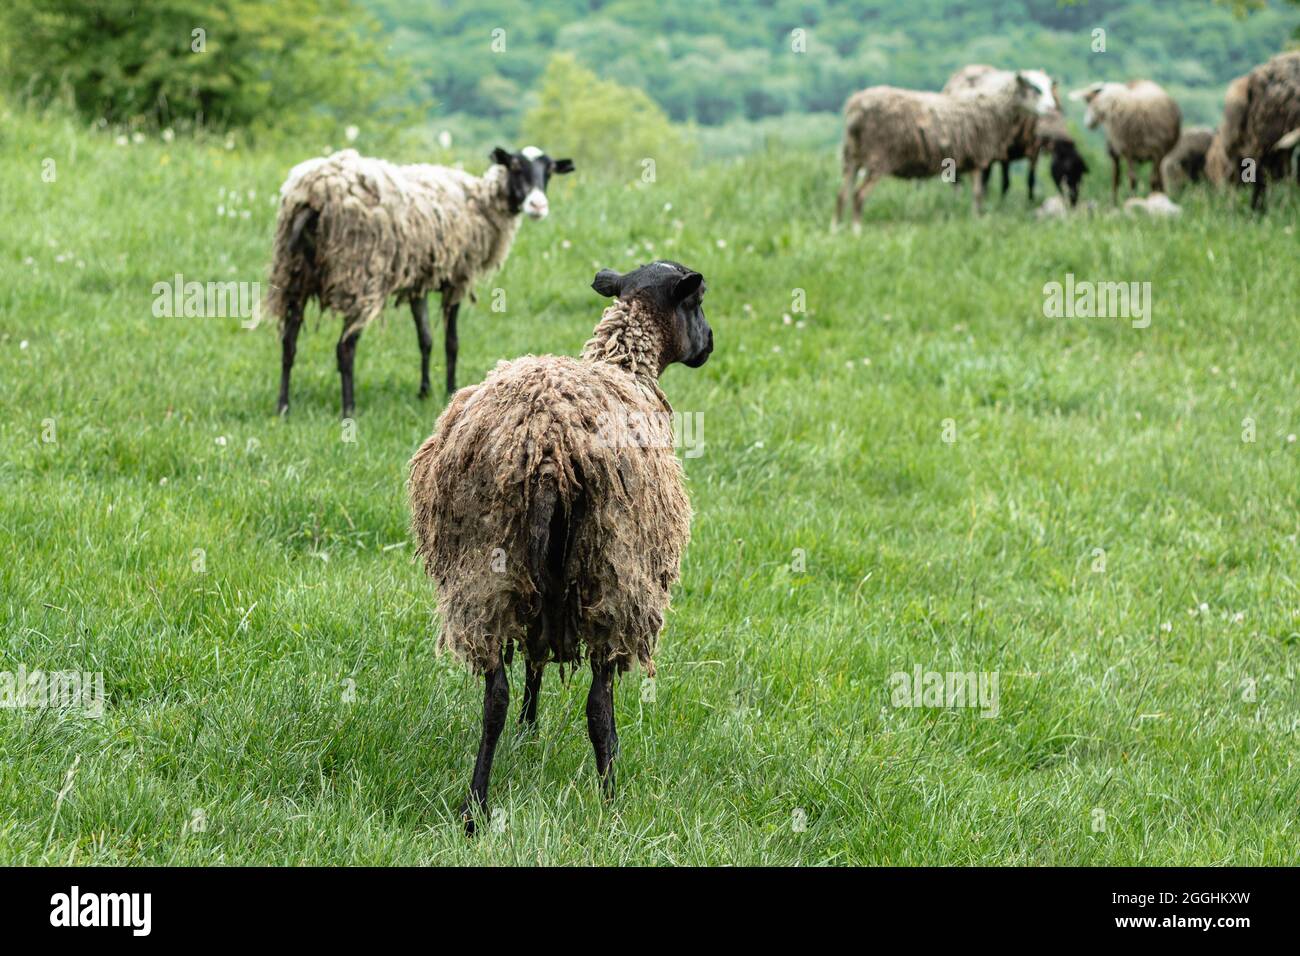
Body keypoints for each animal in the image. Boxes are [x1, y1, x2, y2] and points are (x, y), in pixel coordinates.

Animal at [267, 145, 574, 418]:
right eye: (515, 166)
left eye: (549, 171)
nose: (538, 205)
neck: (481, 201)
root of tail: (314, 193)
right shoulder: (457, 279)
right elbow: (452, 342)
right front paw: (451, 389)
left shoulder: (419, 284)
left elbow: (424, 338)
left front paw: (424, 392)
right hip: (359, 275)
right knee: (345, 347)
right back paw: (349, 409)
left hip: (294, 274)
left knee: (288, 343)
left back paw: (283, 407)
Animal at [832, 68, 1055, 227]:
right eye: (1035, 88)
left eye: (1049, 87)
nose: (1052, 108)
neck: (994, 108)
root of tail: (854, 107)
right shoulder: (977, 159)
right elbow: (978, 195)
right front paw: (976, 221)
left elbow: (977, 195)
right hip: (878, 158)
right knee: (858, 196)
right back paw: (856, 232)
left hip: (851, 157)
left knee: (841, 195)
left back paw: (837, 231)